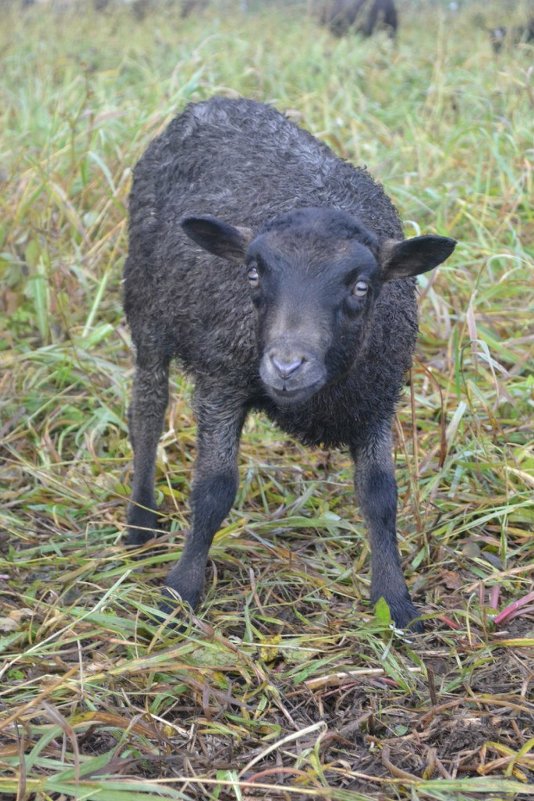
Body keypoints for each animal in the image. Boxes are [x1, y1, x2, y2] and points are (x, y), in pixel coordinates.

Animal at [123, 97, 458, 628]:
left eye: (361, 286)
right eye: (253, 274)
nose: (285, 367)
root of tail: (214, 100)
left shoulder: (378, 393)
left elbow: (380, 495)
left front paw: (395, 601)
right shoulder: (223, 378)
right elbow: (214, 489)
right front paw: (179, 592)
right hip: (146, 306)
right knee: (147, 412)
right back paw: (140, 522)